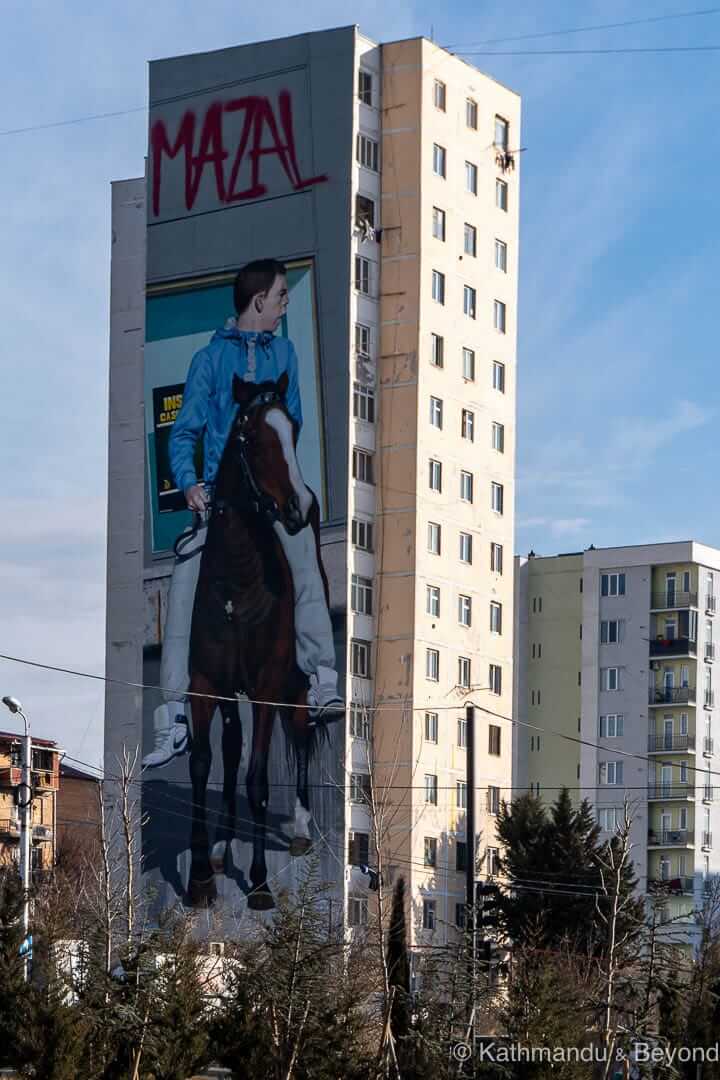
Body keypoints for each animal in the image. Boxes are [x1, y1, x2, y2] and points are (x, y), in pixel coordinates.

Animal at [188, 375, 330, 907]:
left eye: (292, 430)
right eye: (250, 436)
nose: (300, 507)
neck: (236, 585)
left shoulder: (268, 689)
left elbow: (259, 780)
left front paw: (261, 886)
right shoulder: (205, 685)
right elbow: (204, 764)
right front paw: (200, 880)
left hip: (296, 689)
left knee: (302, 738)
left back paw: (301, 830)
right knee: (231, 751)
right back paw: (221, 847)